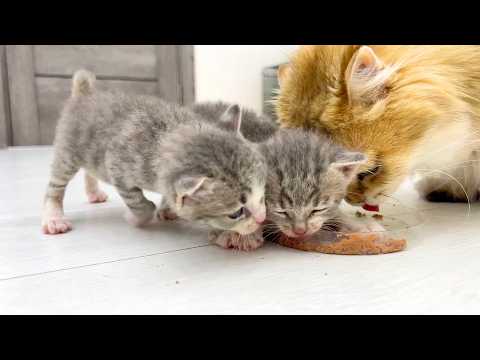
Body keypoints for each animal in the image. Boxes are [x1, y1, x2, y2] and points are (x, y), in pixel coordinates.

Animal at [41, 71, 266, 239]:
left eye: (262, 194)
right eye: (236, 213)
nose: (262, 218)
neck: (167, 132)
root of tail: (84, 94)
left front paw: (167, 208)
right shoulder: (116, 165)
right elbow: (139, 203)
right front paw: (135, 217)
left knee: (89, 171)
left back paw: (93, 193)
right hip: (67, 153)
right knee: (56, 187)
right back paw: (54, 218)